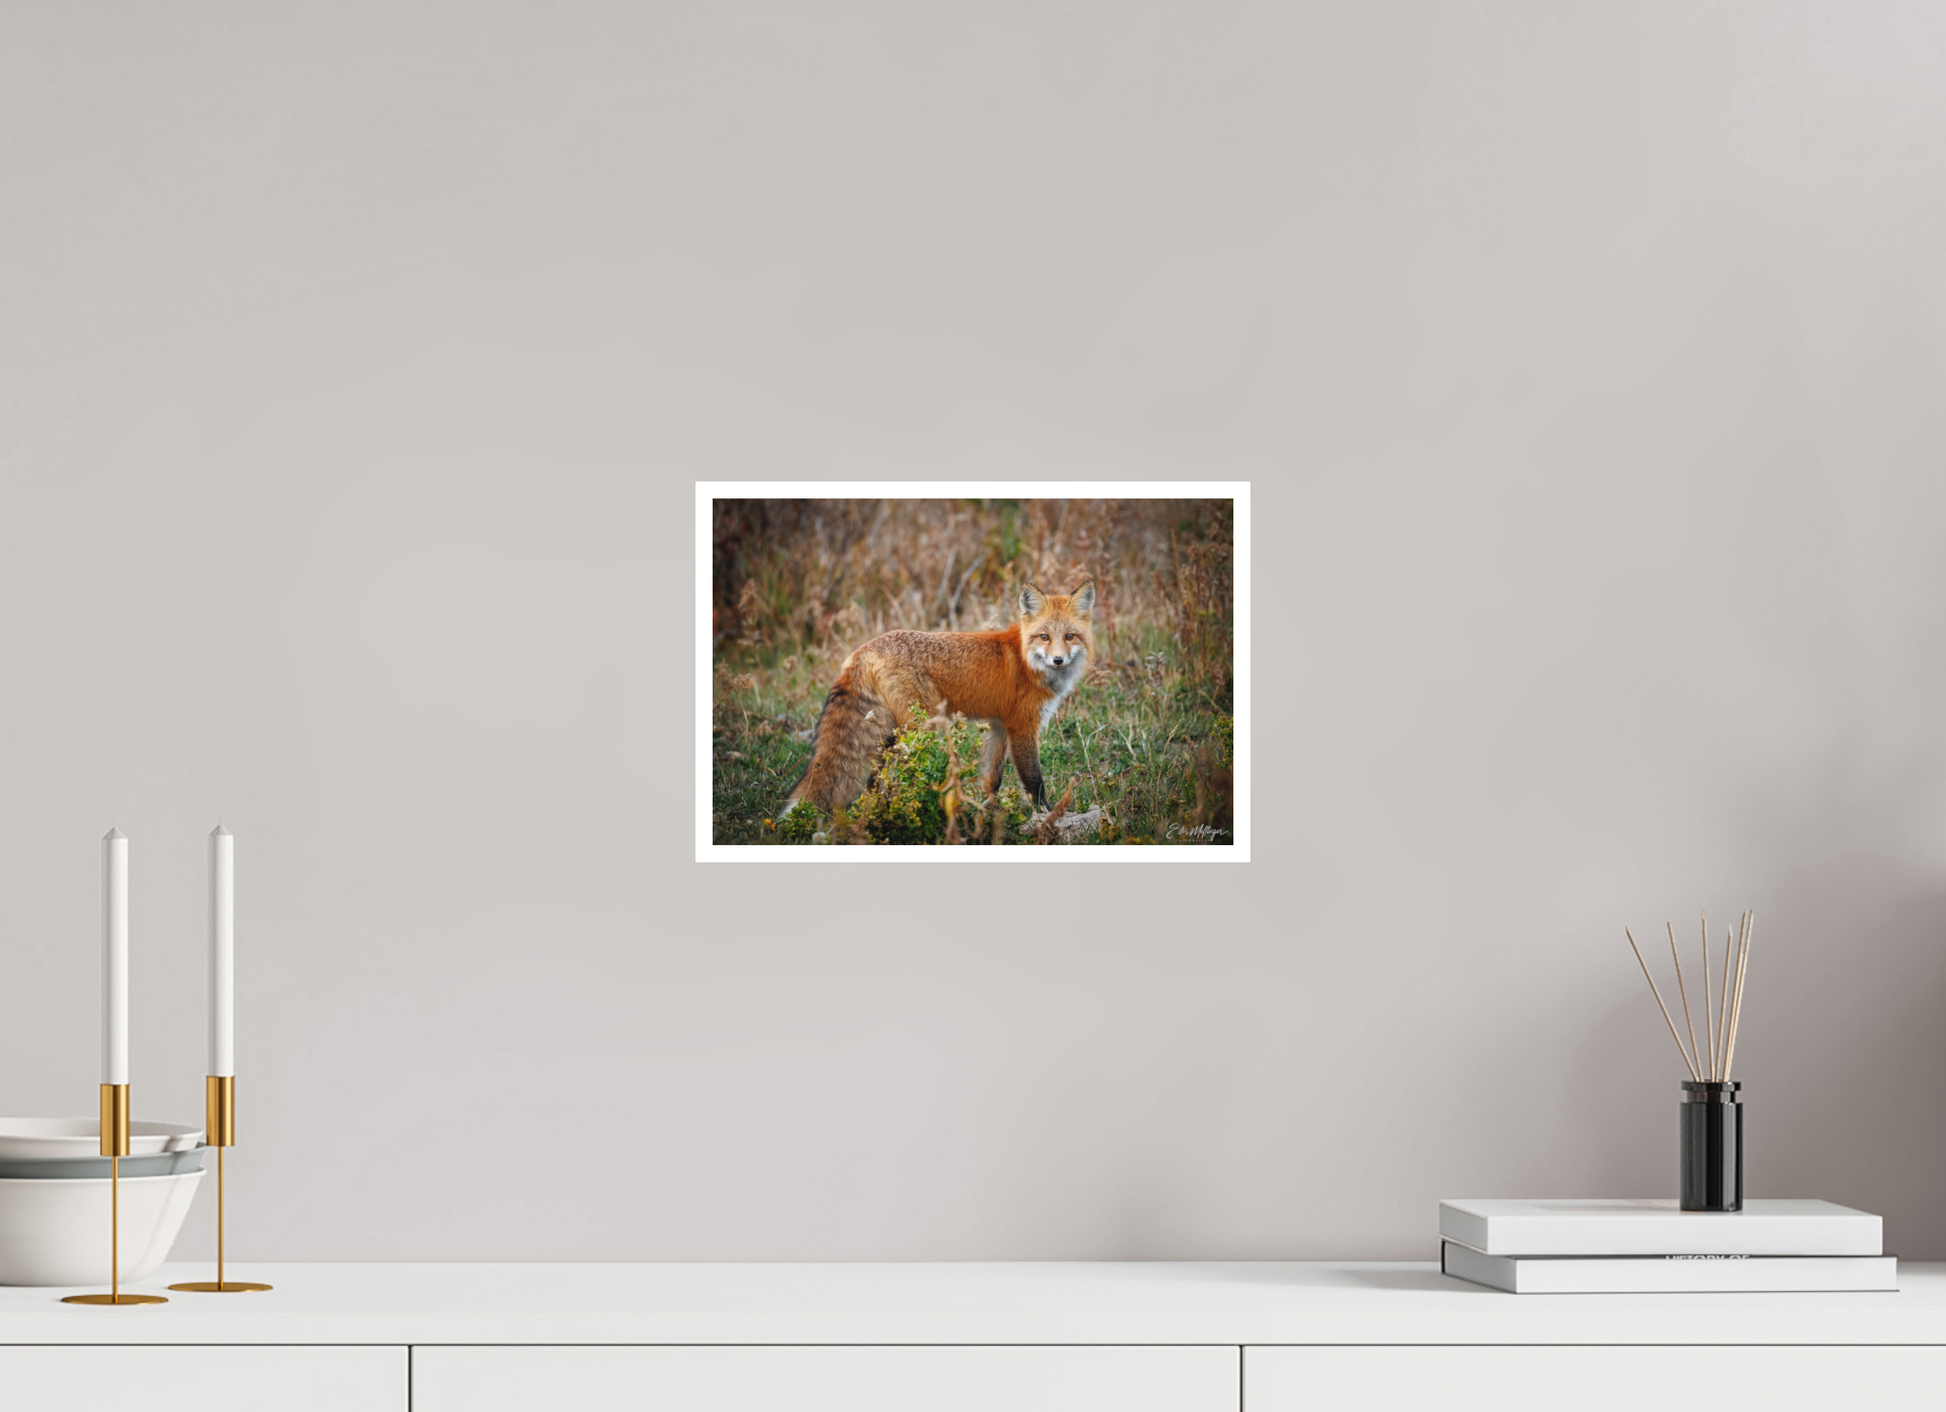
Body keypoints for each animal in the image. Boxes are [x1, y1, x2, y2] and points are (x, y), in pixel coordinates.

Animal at [782, 580, 1097, 816]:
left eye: (1070, 637)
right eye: (1044, 637)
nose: (1058, 660)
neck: (1026, 660)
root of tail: (864, 649)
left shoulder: (1000, 725)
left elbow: (991, 778)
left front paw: (991, 813)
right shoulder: (1022, 726)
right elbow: (1034, 780)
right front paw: (1047, 814)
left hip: (889, 733)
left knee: (875, 779)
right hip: (925, 726)